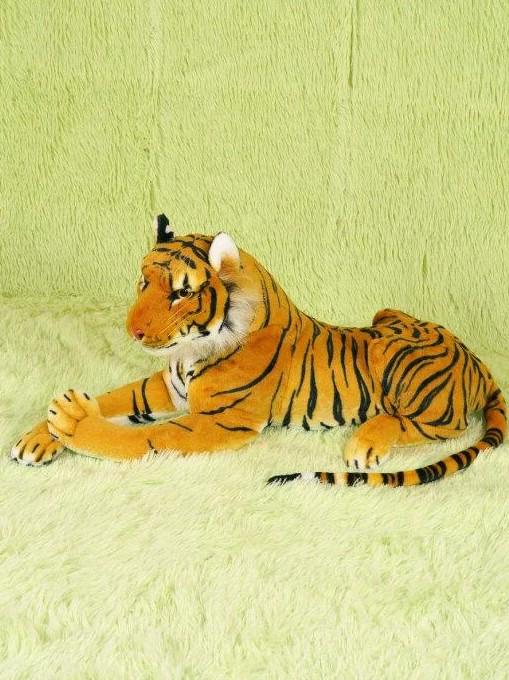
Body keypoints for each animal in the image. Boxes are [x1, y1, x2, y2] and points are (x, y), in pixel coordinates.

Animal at [10, 213, 507, 488]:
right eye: (143, 281)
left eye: (180, 293)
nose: (132, 332)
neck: (191, 349)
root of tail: (478, 361)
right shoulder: (167, 387)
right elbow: (114, 398)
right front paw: (37, 437)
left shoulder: (218, 421)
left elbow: (142, 438)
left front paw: (71, 421)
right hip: (386, 314)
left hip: (402, 369)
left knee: (424, 425)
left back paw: (365, 444)